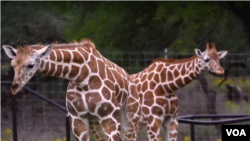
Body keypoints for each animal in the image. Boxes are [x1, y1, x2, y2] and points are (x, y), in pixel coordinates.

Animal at [2, 39, 141, 141]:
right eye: (12, 65)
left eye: (31, 65)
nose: (14, 87)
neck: (83, 77)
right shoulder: (77, 120)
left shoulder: (110, 117)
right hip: (96, 124)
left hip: (130, 121)